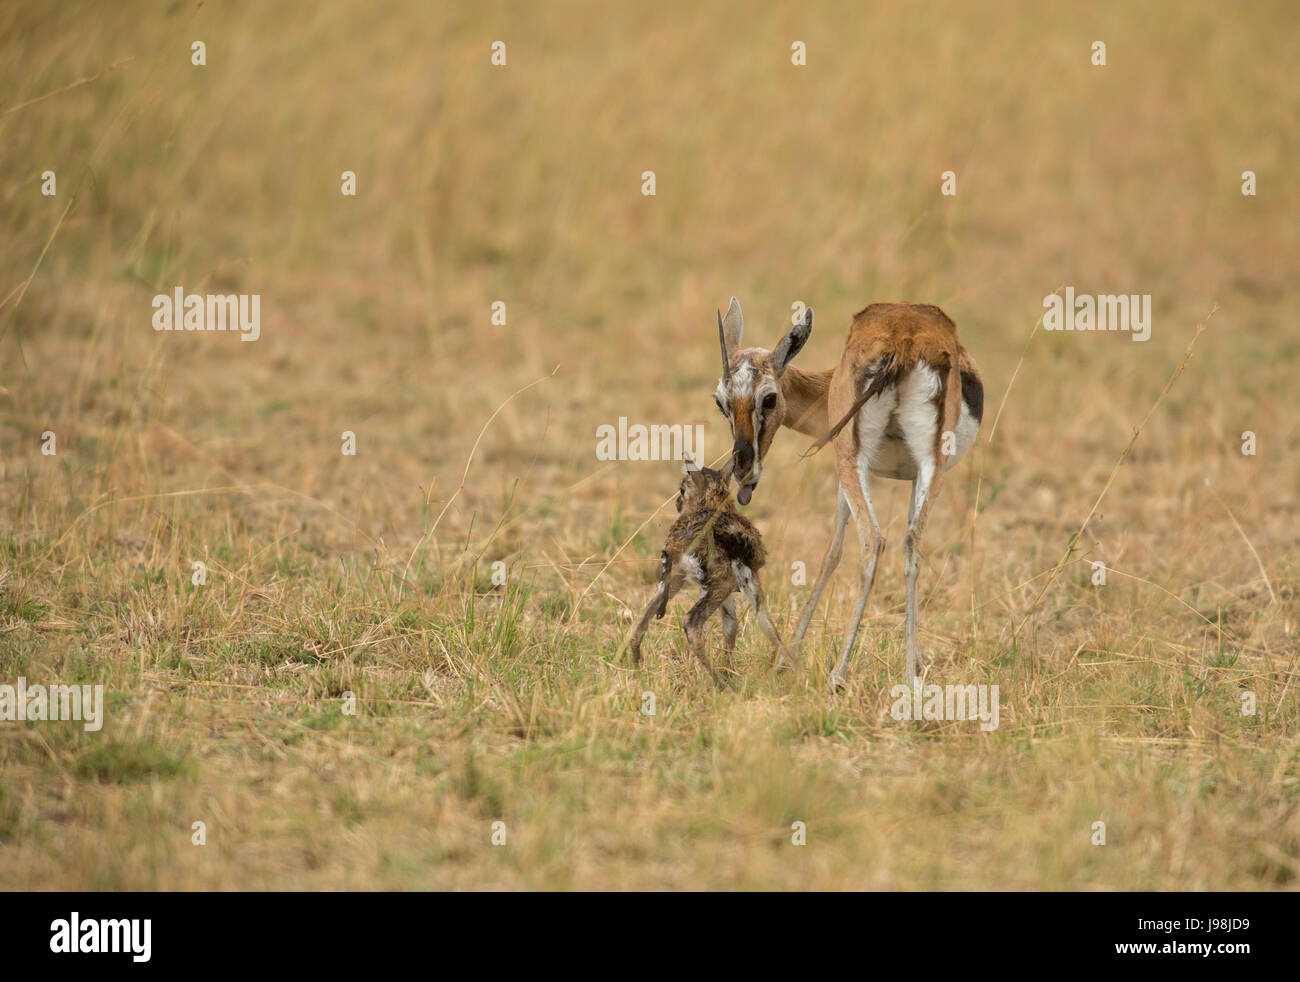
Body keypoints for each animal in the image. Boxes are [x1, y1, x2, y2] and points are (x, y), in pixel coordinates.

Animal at [628, 454, 792, 687]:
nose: (677, 503)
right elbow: (767, 625)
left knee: (640, 620)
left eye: (682, 490)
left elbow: (731, 625)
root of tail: (677, 543)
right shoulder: (748, 581)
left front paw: (729, 670)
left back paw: (637, 673)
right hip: (718, 584)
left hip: (674, 581)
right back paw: (723, 686)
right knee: (691, 623)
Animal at [712, 298, 983, 687]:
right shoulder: (915, 475)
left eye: (769, 398)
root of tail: (903, 342)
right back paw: (907, 677)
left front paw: (783, 662)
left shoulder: (845, 469)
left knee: (872, 538)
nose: (743, 468)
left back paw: (838, 675)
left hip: (851, 460)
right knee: (910, 542)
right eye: (721, 402)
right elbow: (907, 545)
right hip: (930, 462)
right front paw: (917, 663)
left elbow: (832, 553)